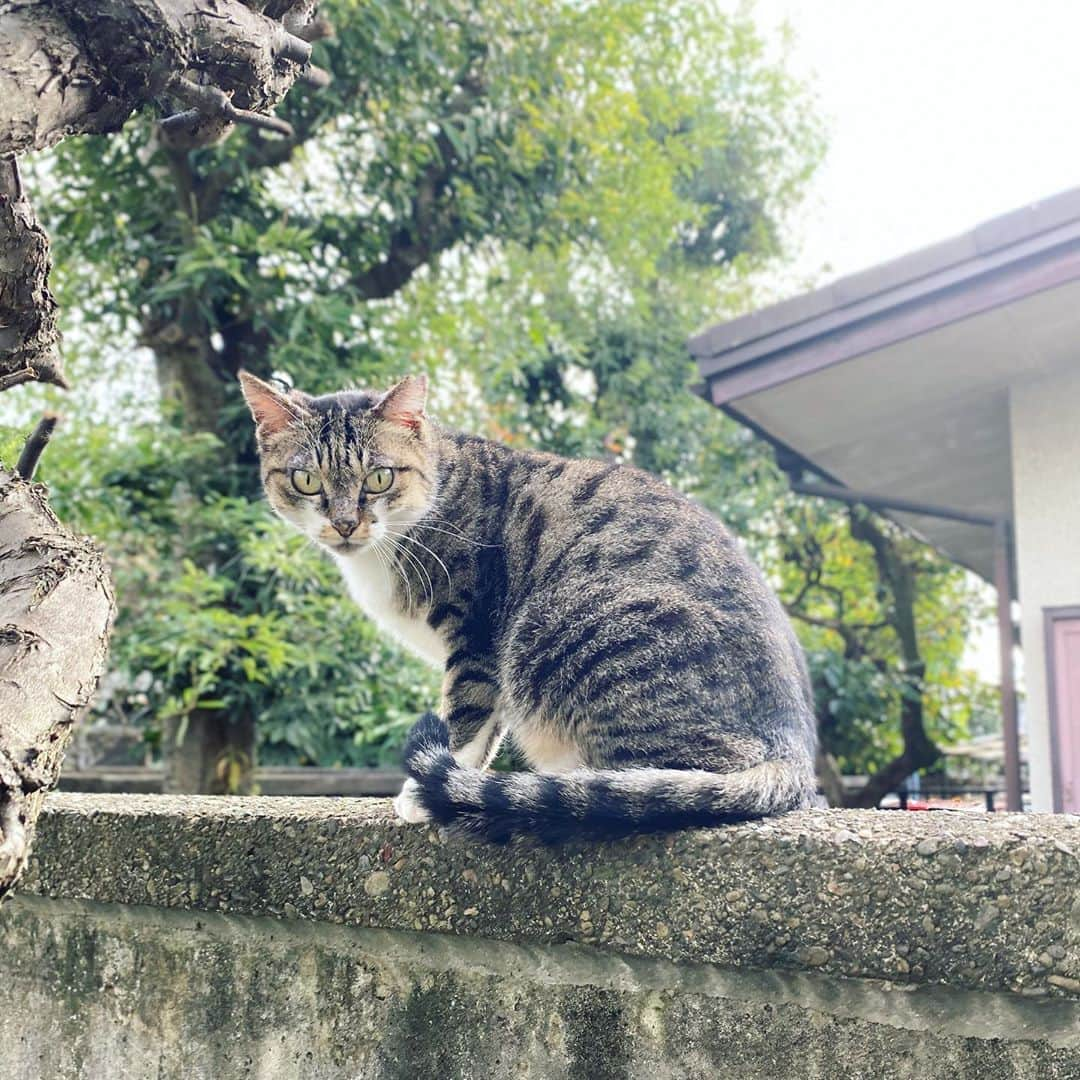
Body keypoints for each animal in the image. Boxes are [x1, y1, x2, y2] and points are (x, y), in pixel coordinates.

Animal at [243, 373, 816, 842]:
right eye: (306, 481)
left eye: (379, 477)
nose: (344, 524)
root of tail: (791, 743)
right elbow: (485, 727)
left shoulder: (476, 636)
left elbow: (465, 718)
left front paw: (426, 795)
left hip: (563, 627)